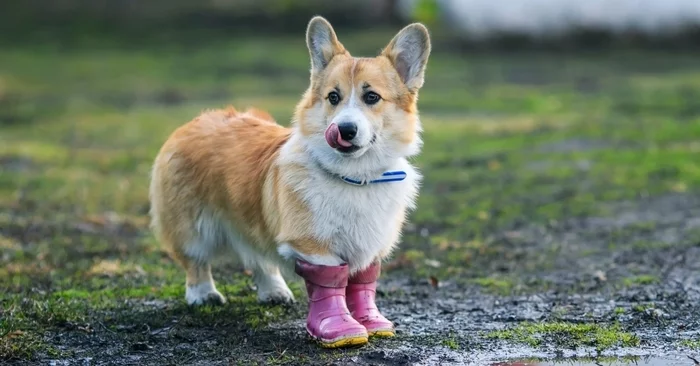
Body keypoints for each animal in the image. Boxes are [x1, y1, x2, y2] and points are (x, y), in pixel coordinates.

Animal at [149, 16, 426, 348]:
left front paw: (370, 321)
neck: (356, 177)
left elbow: (361, 282)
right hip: (192, 227)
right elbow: (329, 284)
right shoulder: (316, 248)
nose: (345, 130)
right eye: (333, 97)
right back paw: (203, 294)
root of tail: (196, 120)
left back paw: (274, 291)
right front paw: (338, 328)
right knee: (196, 260)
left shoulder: (370, 246)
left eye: (371, 97)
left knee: (258, 255)